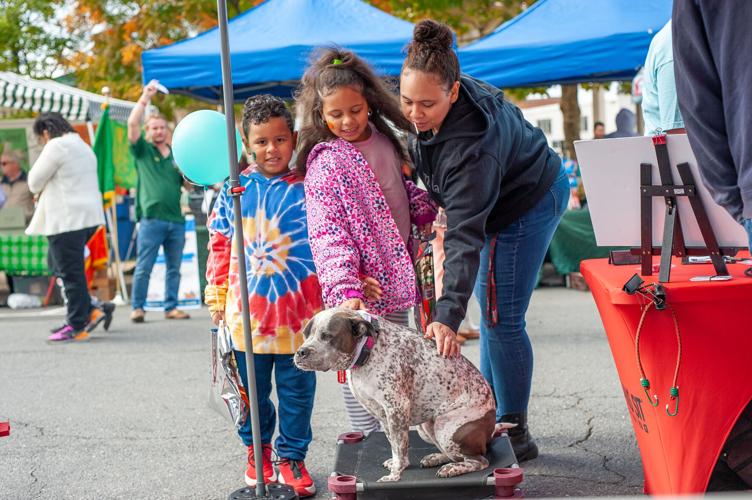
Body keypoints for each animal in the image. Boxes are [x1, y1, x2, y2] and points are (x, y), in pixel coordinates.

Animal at [296, 306, 500, 482]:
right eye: (305, 335)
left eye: (327, 336)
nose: (301, 352)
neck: (368, 350)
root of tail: (491, 431)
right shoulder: (384, 414)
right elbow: (396, 444)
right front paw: (398, 465)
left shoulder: (396, 408)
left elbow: (398, 446)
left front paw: (394, 476)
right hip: (427, 427)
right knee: (456, 455)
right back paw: (438, 457)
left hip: (446, 427)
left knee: (479, 461)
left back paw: (454, 468)